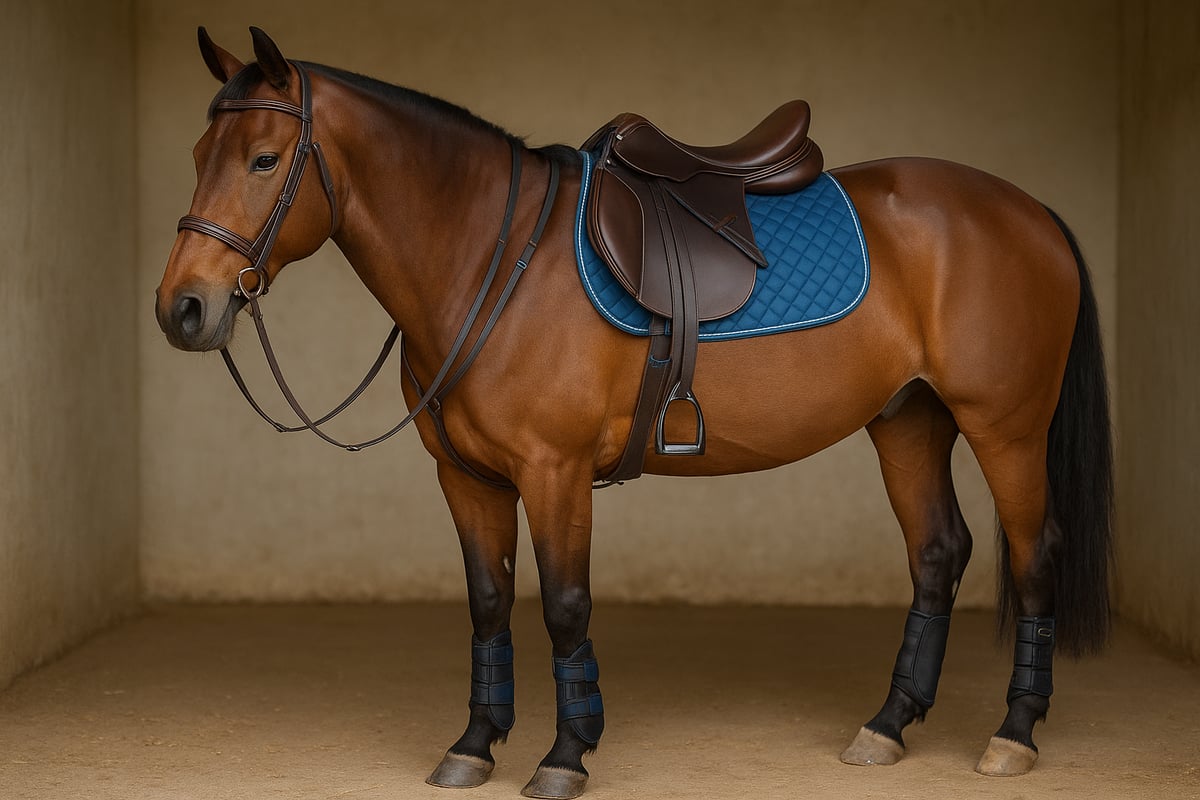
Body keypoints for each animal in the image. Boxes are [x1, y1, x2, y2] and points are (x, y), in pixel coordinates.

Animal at [155, 27, 1113, 800]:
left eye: (264, 160)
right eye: (197, 152)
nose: (183, 310)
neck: (493, 258)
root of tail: (1026, 209)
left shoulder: (555, 471)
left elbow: (564, 606)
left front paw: (565, 756)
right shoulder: (465, 476)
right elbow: (488, 603)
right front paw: (475, 743)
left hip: (1005, 428)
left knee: (1034, 554)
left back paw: (1013, 735)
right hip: (908, 419)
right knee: (937, 555)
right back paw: (887, 725)